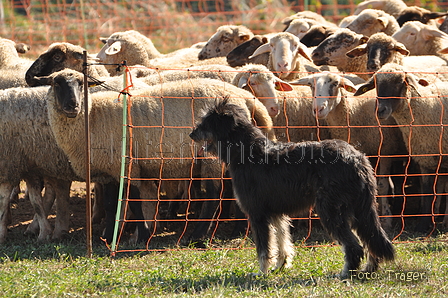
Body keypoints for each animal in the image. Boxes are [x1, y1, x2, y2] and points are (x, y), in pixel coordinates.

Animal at [190, 98, 396, 280]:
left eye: (205, 123)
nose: (192, 134)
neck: (248, 153)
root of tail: (358, 159)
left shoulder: (257, 215)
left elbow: (264, 249)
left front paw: (262, 272)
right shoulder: (276, 214)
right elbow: (282, 242)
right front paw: (280, 266)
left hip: (331, 210)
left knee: (354, 246)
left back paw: (345, 274)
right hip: (358, 211)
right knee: (370, 241)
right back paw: (368, 270)